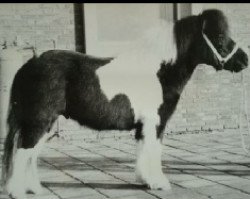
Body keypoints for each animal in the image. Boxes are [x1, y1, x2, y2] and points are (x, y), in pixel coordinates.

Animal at [1, 8, 248, 199]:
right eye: (218, 36)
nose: (244, 60)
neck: (159, 71)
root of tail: (29, 65)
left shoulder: (145, 125)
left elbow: (144, 150)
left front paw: (145, 180)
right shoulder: (155, 122)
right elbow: (154, 150)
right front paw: (159, 183)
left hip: (45, 123)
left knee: (31, 154)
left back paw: (34, 189)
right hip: (38, 121)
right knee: (23, 152)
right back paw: (17, 192)